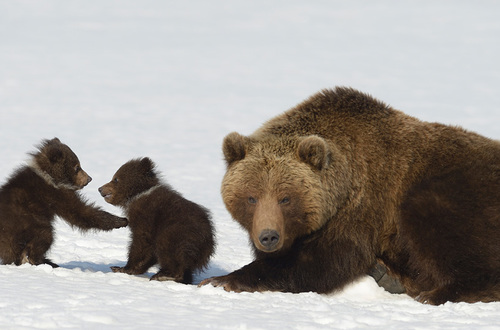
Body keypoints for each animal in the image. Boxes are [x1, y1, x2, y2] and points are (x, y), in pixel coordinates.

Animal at [201, 87, 500, 304]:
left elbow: (325, 261)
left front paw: (220, 280)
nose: (268, 237)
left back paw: (435, 293)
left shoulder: (365, 205)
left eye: (285, 198)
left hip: (459, 191)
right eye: (251, 197)